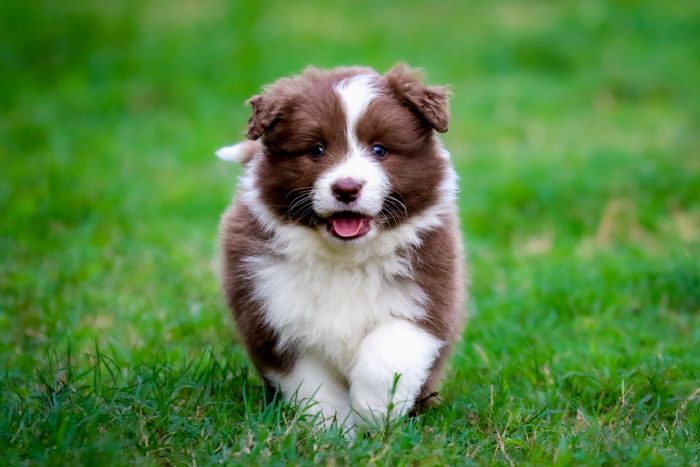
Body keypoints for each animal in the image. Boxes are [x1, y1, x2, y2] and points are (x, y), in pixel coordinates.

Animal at [216, 64, 468, 430]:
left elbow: (390, 348)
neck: (347, 259)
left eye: (379, 150)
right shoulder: (272, 315)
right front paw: (333, 430)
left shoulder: (427, 292)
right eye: (316, 150)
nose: (346, 188)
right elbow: (312, 384)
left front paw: (376, 410)